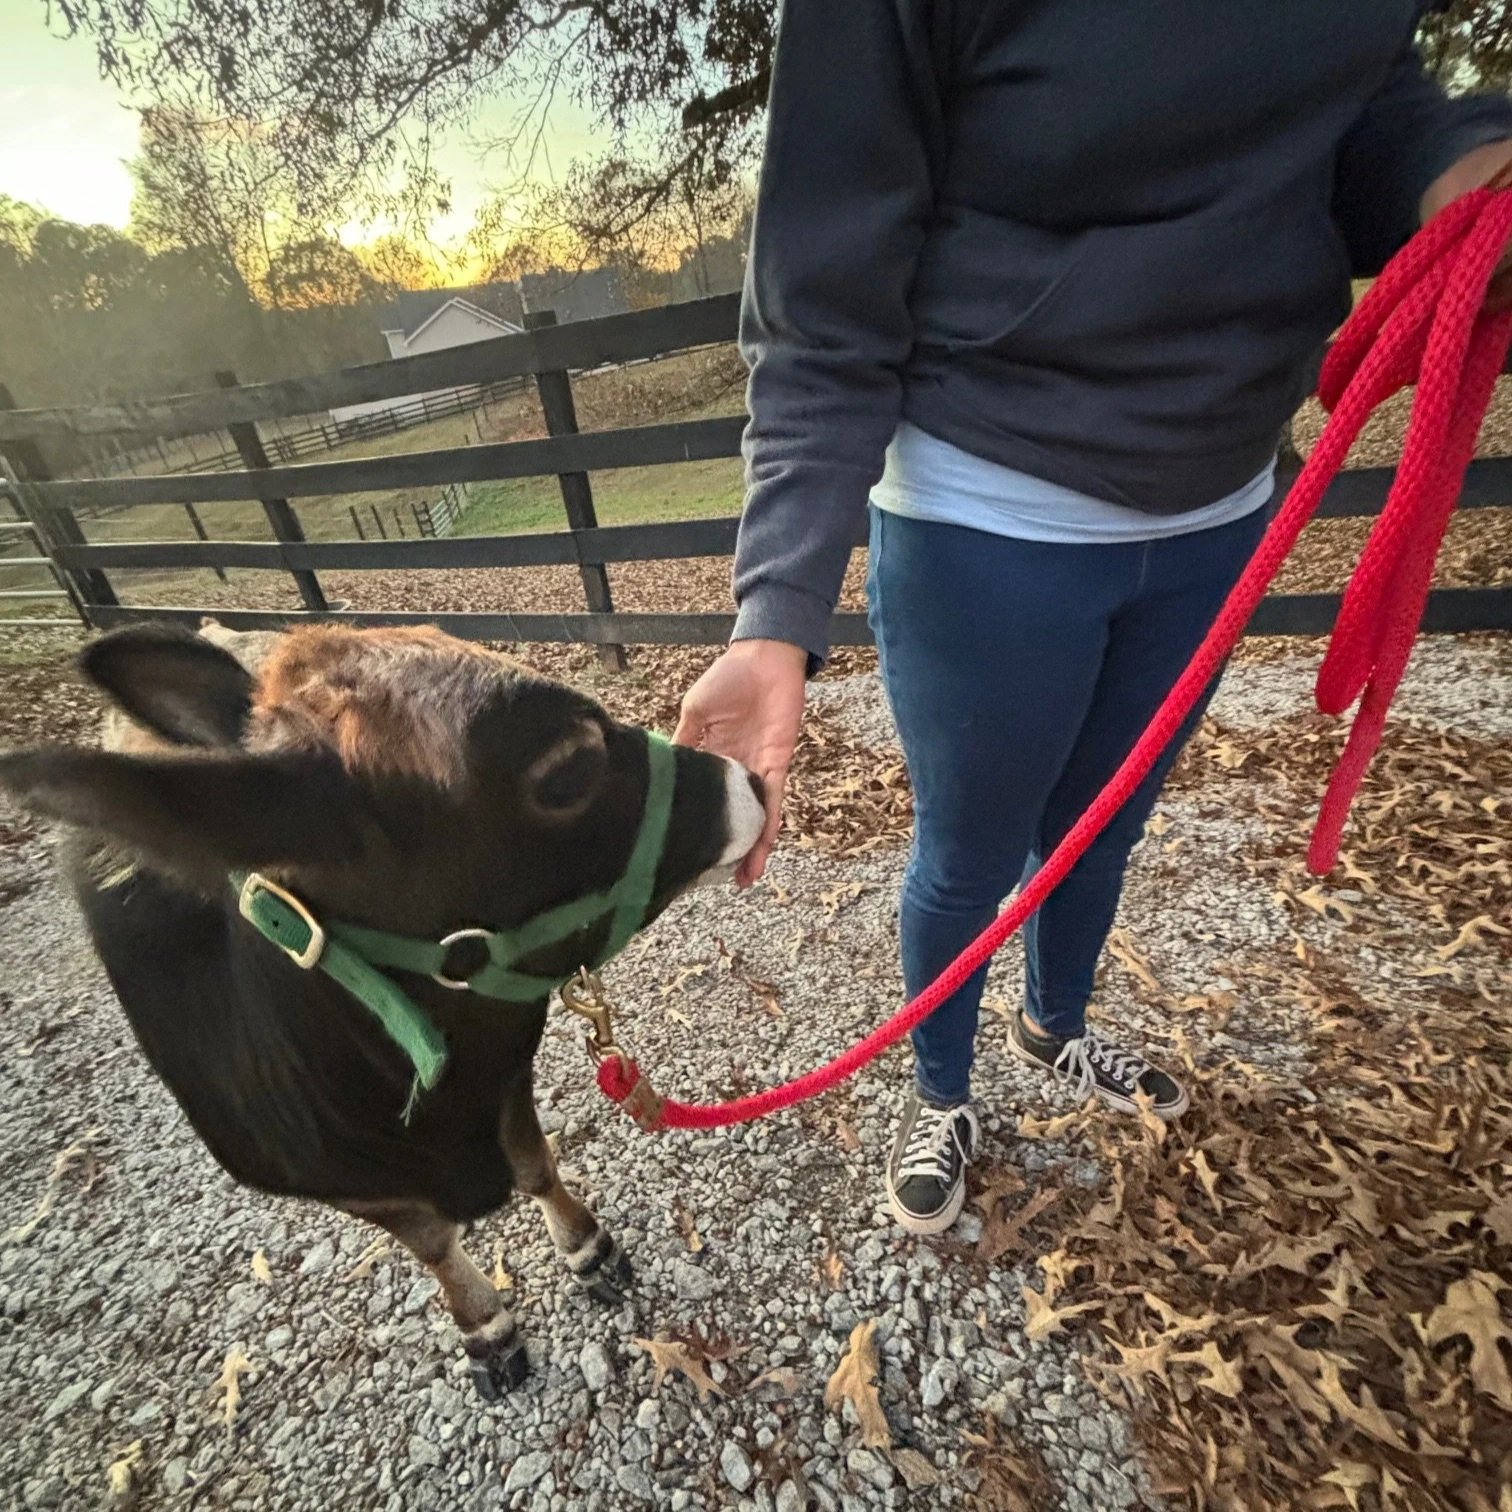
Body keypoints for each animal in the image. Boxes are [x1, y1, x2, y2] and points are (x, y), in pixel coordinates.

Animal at [0, 621, 765, 1394]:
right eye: (569, 767)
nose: (752, 782)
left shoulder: (507, 1072)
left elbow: (534, 1164)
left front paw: (589, 1249)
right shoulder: (348, 1186)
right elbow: (429, 1243)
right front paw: (485, 1328)